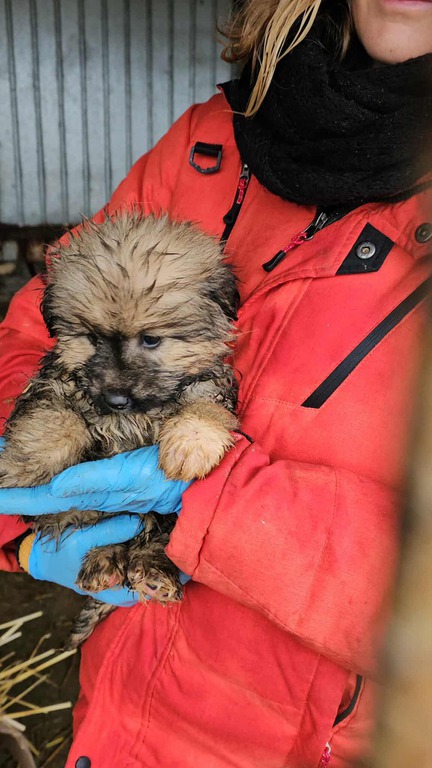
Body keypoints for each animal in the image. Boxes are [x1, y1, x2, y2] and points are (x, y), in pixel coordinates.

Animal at [0, 211, 238, 647]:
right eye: (92, 337)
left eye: (151, 339)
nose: (115, 398)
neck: (131, 416)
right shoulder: (56, 381)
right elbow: (56, 415)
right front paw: (26, 461)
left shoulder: (210, 382)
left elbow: (204, 405)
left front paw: (191, 443)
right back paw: (104, 562)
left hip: (161, 522)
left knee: (156, 538)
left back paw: (152, 572)